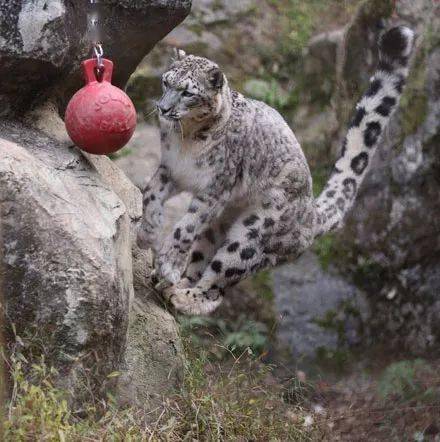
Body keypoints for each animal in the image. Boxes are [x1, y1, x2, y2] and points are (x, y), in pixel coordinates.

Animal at [138, 25, 416, 316]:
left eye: (187, 92)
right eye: (166, 82)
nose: (163, 108)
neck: (186, 140)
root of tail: (311, 214)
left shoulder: (216, 189)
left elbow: (186, 227)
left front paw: (168, 264)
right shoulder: (171, 170)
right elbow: (150, 193)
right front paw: (148, 233)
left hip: (251, 235)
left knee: (219, 283)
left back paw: (183, 295)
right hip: (218, 225)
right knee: (201, 260)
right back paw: (173, 285)